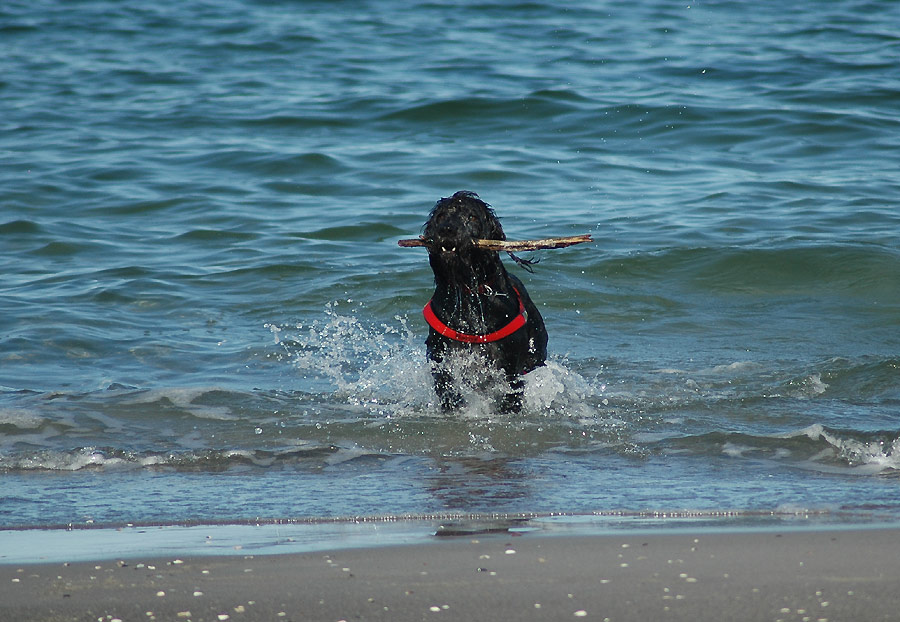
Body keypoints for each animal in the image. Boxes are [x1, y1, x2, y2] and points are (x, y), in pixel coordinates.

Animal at [418, 190, 544, 414]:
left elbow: (511, 389)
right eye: (440, 217)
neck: (469, 292)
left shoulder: (509, 359)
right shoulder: (440, 350)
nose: (447, 229)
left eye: (472, 217)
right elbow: (445, 381)